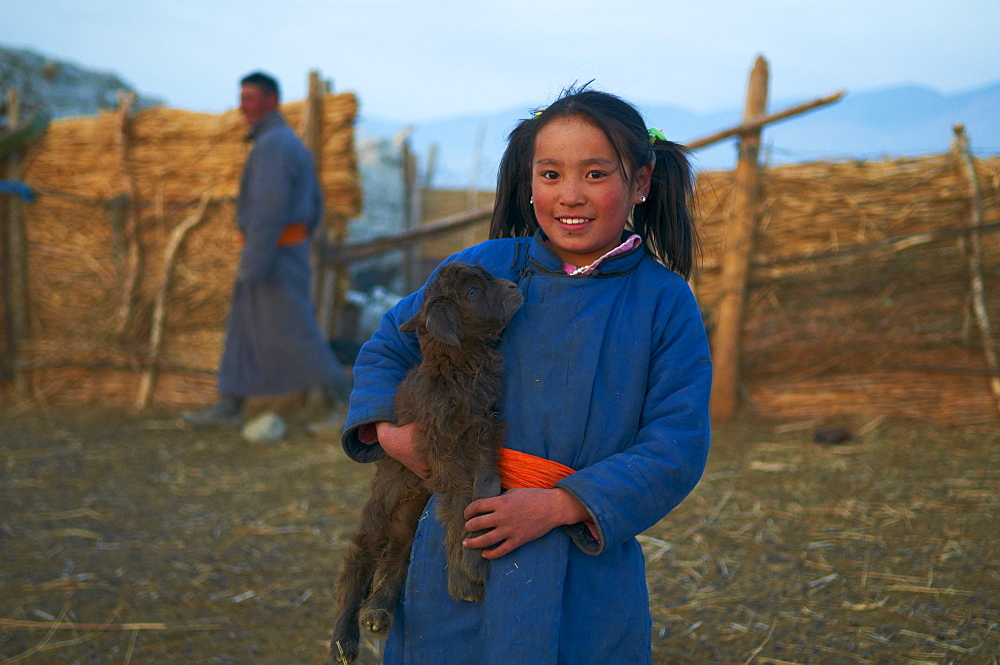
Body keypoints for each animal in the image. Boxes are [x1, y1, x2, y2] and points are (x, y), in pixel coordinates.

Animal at [334, 262, 524, 660]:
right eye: (472, 291)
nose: (515, 287)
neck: (458, 369)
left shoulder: (484, 435)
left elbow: (484, 486)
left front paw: (475, 557)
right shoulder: (438, 447)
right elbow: (458, 500)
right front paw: (466, 576)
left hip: (408, 515)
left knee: (399, 553)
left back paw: (377, 612)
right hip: (385, 498)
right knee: (361, 556)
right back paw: (343, 641)